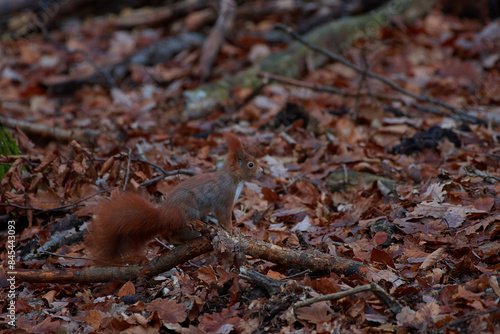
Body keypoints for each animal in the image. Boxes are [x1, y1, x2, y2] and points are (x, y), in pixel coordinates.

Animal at [85, 132, 262, 262]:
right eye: (250, 164)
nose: (262, 171)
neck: (234, 178)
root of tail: (164, 216)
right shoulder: (224, 198)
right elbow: (223, 216)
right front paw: (231, 229)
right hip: (186, 207)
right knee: (176, 229)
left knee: (175, 237)